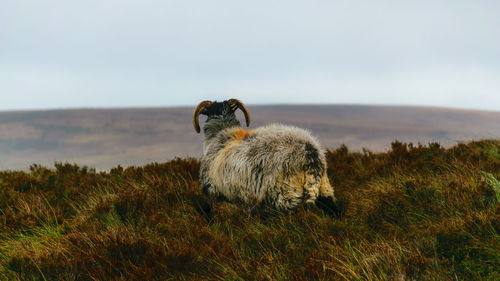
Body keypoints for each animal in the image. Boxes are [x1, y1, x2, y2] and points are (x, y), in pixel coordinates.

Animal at [191, 99, 340, 217]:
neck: (219, 135)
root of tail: (310, 155)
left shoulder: (214, 191)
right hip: (324, 188)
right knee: (333, 208)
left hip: (286, 195)